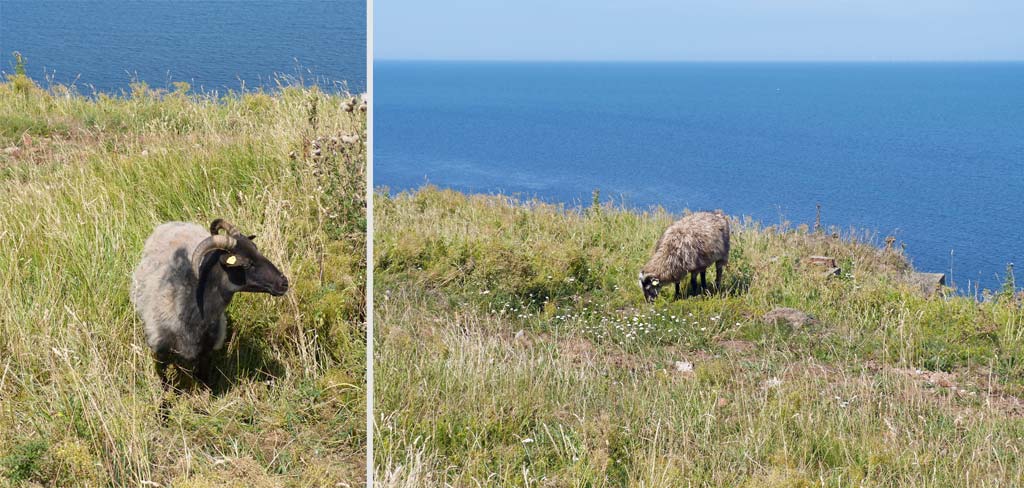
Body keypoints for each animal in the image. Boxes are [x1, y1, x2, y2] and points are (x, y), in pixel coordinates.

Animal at [129, 217, 288, 388]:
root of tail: (175, 222)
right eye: (246, 263)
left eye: (258, 251)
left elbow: (204, 378)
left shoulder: (206, 351)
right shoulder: (160, 351)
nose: (284, 283)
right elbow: (165, 382)